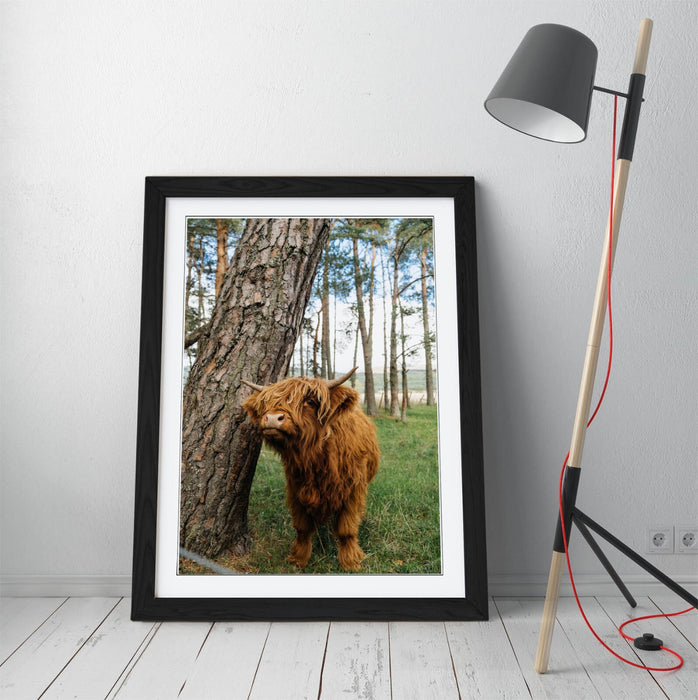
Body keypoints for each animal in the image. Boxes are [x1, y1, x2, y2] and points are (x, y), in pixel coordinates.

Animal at [241, 367, 380, 572]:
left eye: (310, 401)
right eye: (267, 402)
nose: (273, 418)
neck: (316, 459)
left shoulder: (353, 491)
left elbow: (347, 528)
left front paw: (350, 562)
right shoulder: (296, 489)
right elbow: (302, 527)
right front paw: (298, 558)